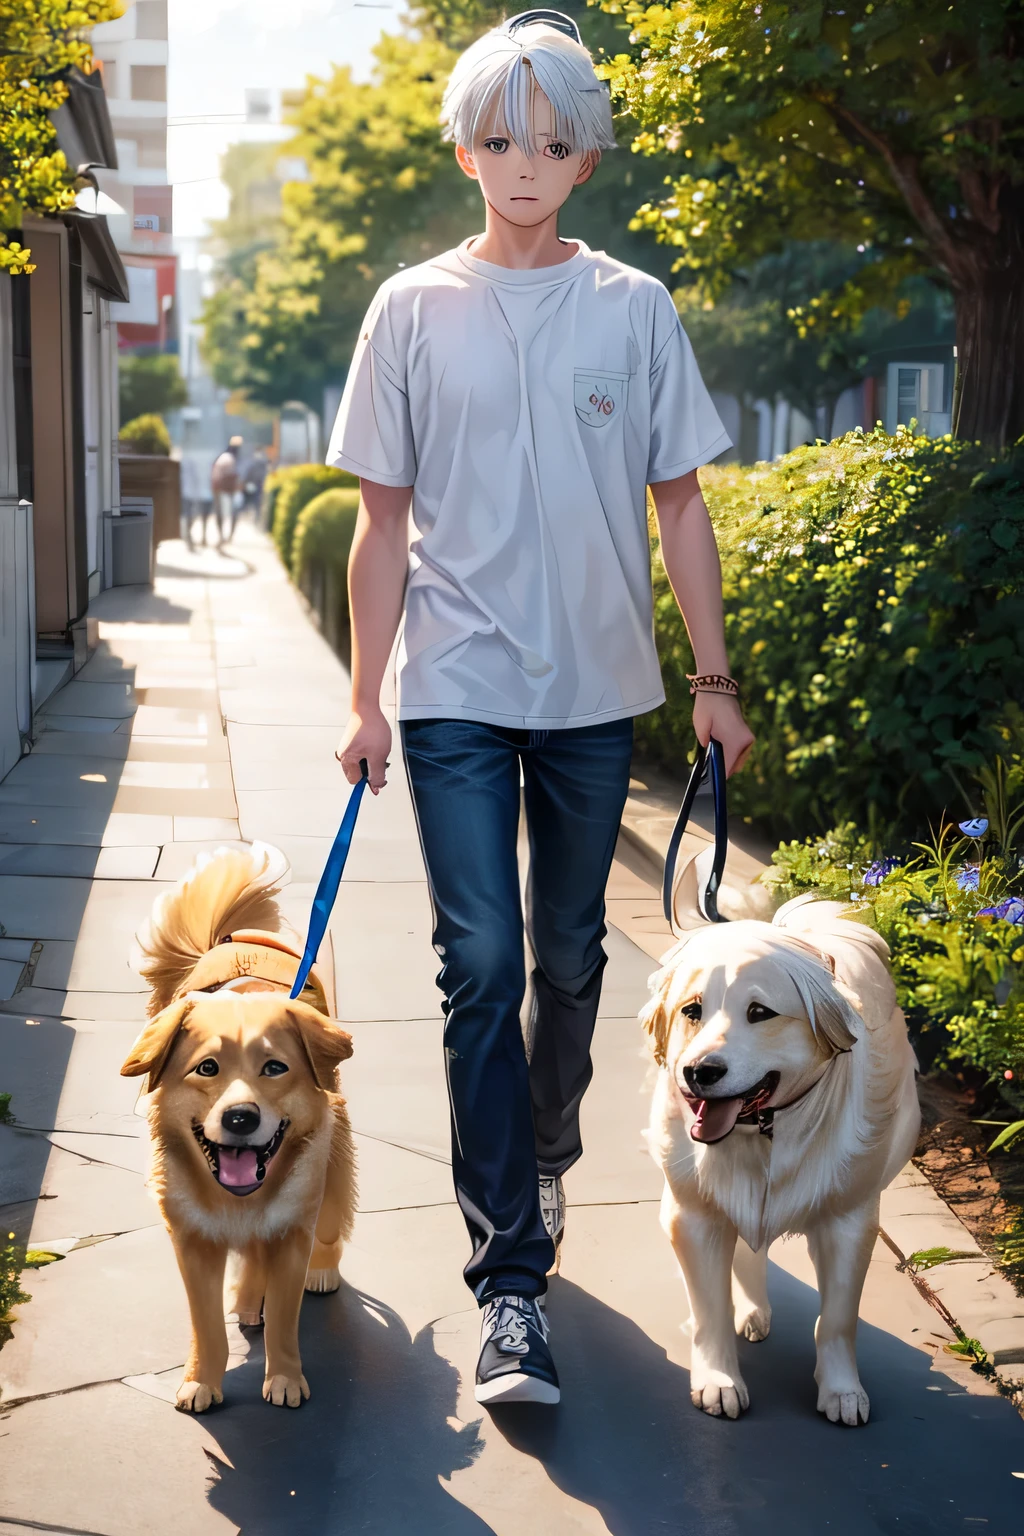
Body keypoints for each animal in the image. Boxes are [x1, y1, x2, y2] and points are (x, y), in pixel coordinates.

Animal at [122, 847, 356, 1406]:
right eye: (207, 1068)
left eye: (275, 1068)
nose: (240, 1118)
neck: (239, 1199)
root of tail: (240, 938)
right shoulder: (192, 1242)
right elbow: (205, 1324)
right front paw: (200, 1380)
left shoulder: (292, 1230)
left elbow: (285, 1319)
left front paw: (286, 1377)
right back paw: (248, 1300)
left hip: (333, 1171)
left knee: (331, 1225)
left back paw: (321, 1272)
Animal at [641, 897, 921, 1419]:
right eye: (692, 1010)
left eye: (760, 1012)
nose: (698, 1071)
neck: (764, 1131)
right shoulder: (693, 1212)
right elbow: (712, 1306)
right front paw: (718, 1378)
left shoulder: (849, 1220)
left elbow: (838, 1319)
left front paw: (841, 1389)